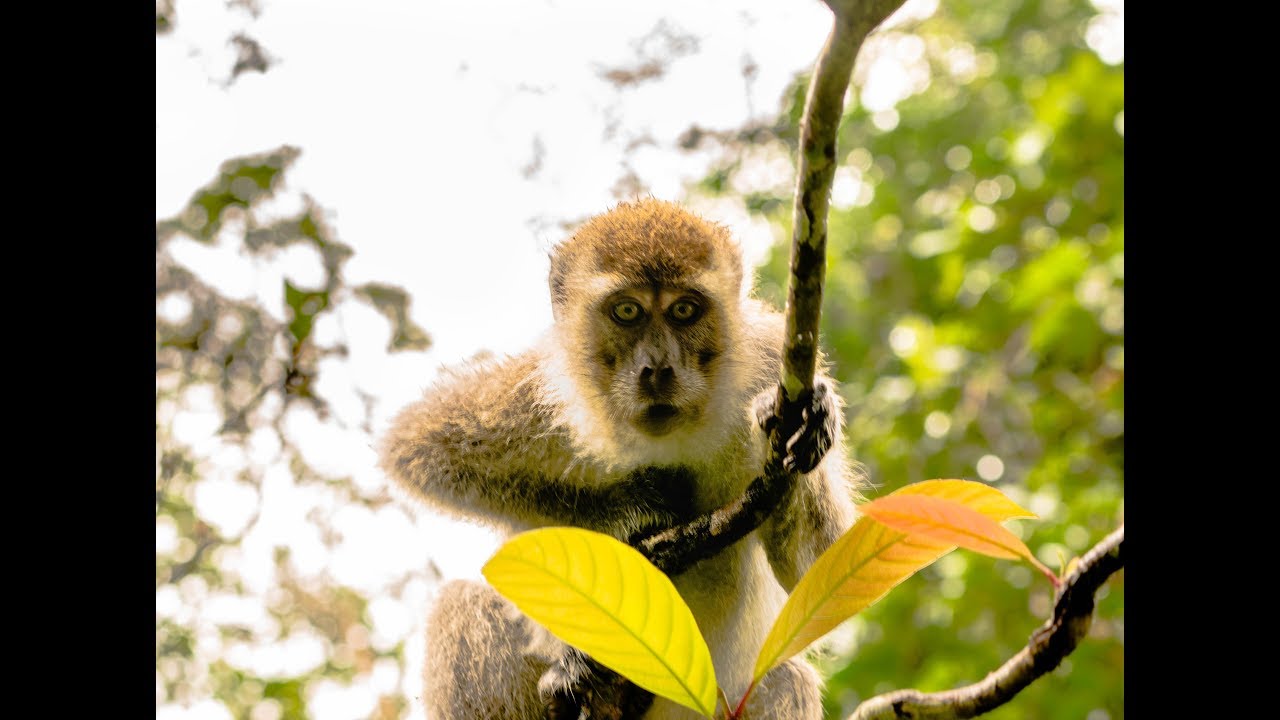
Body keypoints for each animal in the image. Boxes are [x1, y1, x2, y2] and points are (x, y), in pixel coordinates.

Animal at [378, 197, 860, 717]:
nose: (658, 368)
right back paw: (571, 675)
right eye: (627, 311)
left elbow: (821, 573)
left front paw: (805, 420)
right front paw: (630, 510)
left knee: (786, 679)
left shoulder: (770, 355)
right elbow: (420, 448)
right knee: (461, 602)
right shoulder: (542, 390)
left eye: (685, 310)